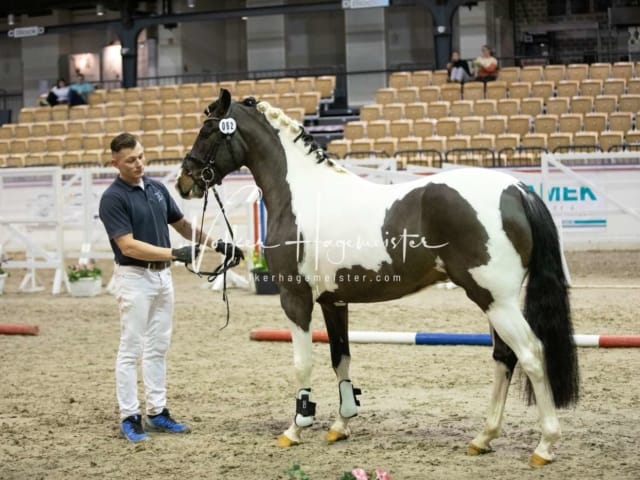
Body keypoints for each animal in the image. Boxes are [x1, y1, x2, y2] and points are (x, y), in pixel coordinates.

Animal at [175, 89, 580, 464]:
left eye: (207, 130)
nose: (184, 182)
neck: (302, 194)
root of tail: (517, 189)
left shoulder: (295, 298)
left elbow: (303, 363)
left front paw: (296, 427)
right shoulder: (334, 301)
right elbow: (341, 357)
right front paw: (341, 424)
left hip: (497, 300)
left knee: (531, 353)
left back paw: (545, 445)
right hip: (491, 300)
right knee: (504, 357)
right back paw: (484, 437)